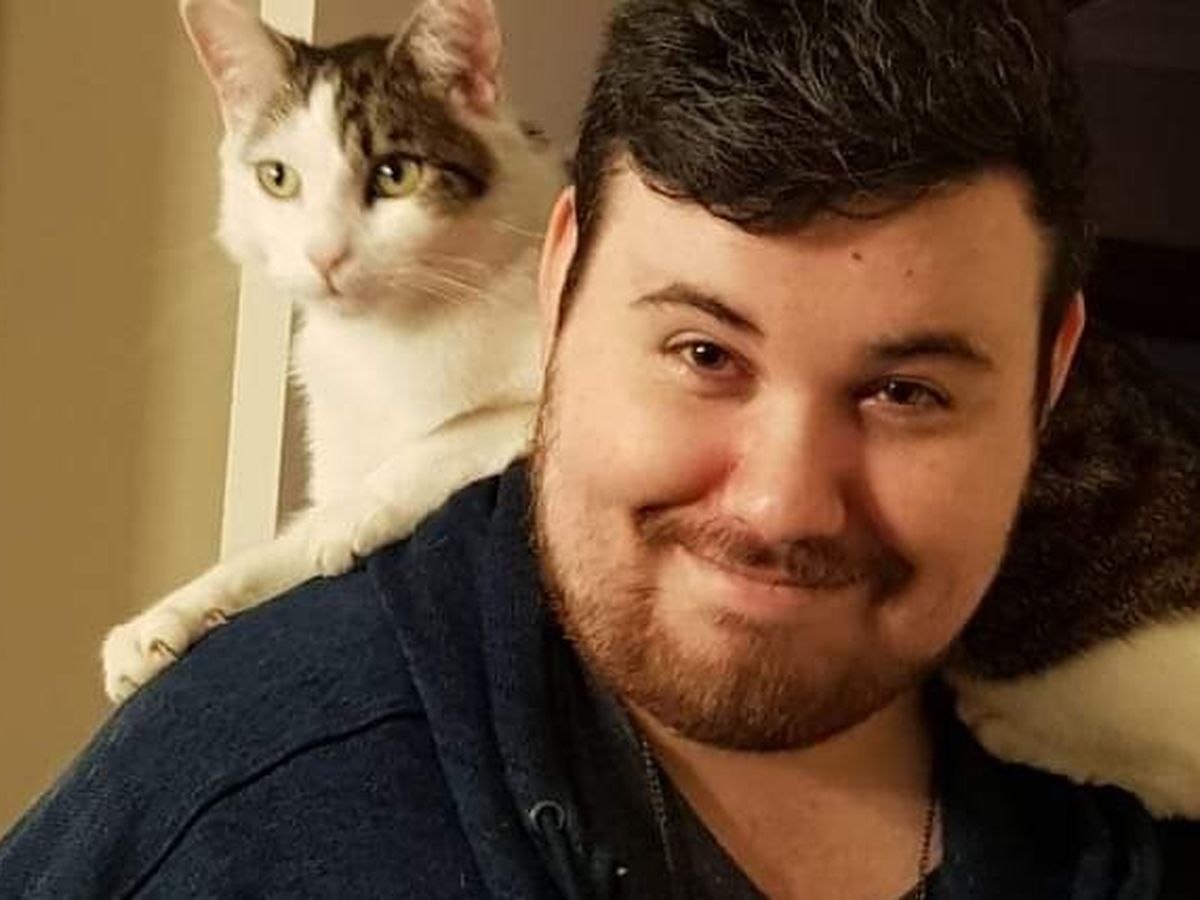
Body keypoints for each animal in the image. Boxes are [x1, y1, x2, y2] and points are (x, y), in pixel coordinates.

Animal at [101, 0, 560, 702]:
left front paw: (361, 509)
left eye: (395, 175)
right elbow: (274, 551)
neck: (392, 336)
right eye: (277, 179)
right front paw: (164, 617)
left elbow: (457, 431)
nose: (323, 254)